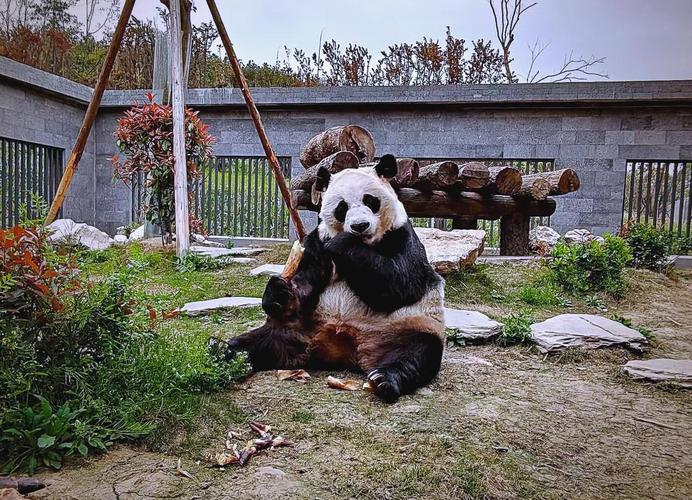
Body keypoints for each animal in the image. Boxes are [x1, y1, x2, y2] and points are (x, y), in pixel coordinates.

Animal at [216, 154, 445, 402]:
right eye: (342, 207)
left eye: (370, 200)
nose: (360, 226)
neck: (366, 244)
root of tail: (338, 346)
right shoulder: (316, 240)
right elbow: (306, 282)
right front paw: (279, 293)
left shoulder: (402, 236)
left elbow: (401, 283)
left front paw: (343, 243)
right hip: (295, 326)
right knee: (258, 342)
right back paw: (221, 351)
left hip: (404, 326)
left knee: (416, 353)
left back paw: (384, 379)